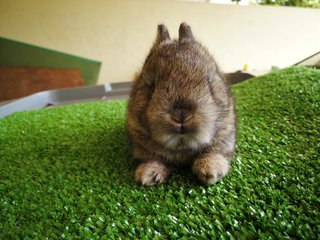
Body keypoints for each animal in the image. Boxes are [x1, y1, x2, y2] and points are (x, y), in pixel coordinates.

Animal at [127, 23, 235, 186]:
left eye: (210, 82)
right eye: (151, 86)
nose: (181, 116)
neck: (182, 146)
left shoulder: (225, 132)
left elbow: (215, 151)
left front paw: (210, 171)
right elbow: (151, 158)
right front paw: (148, 176)